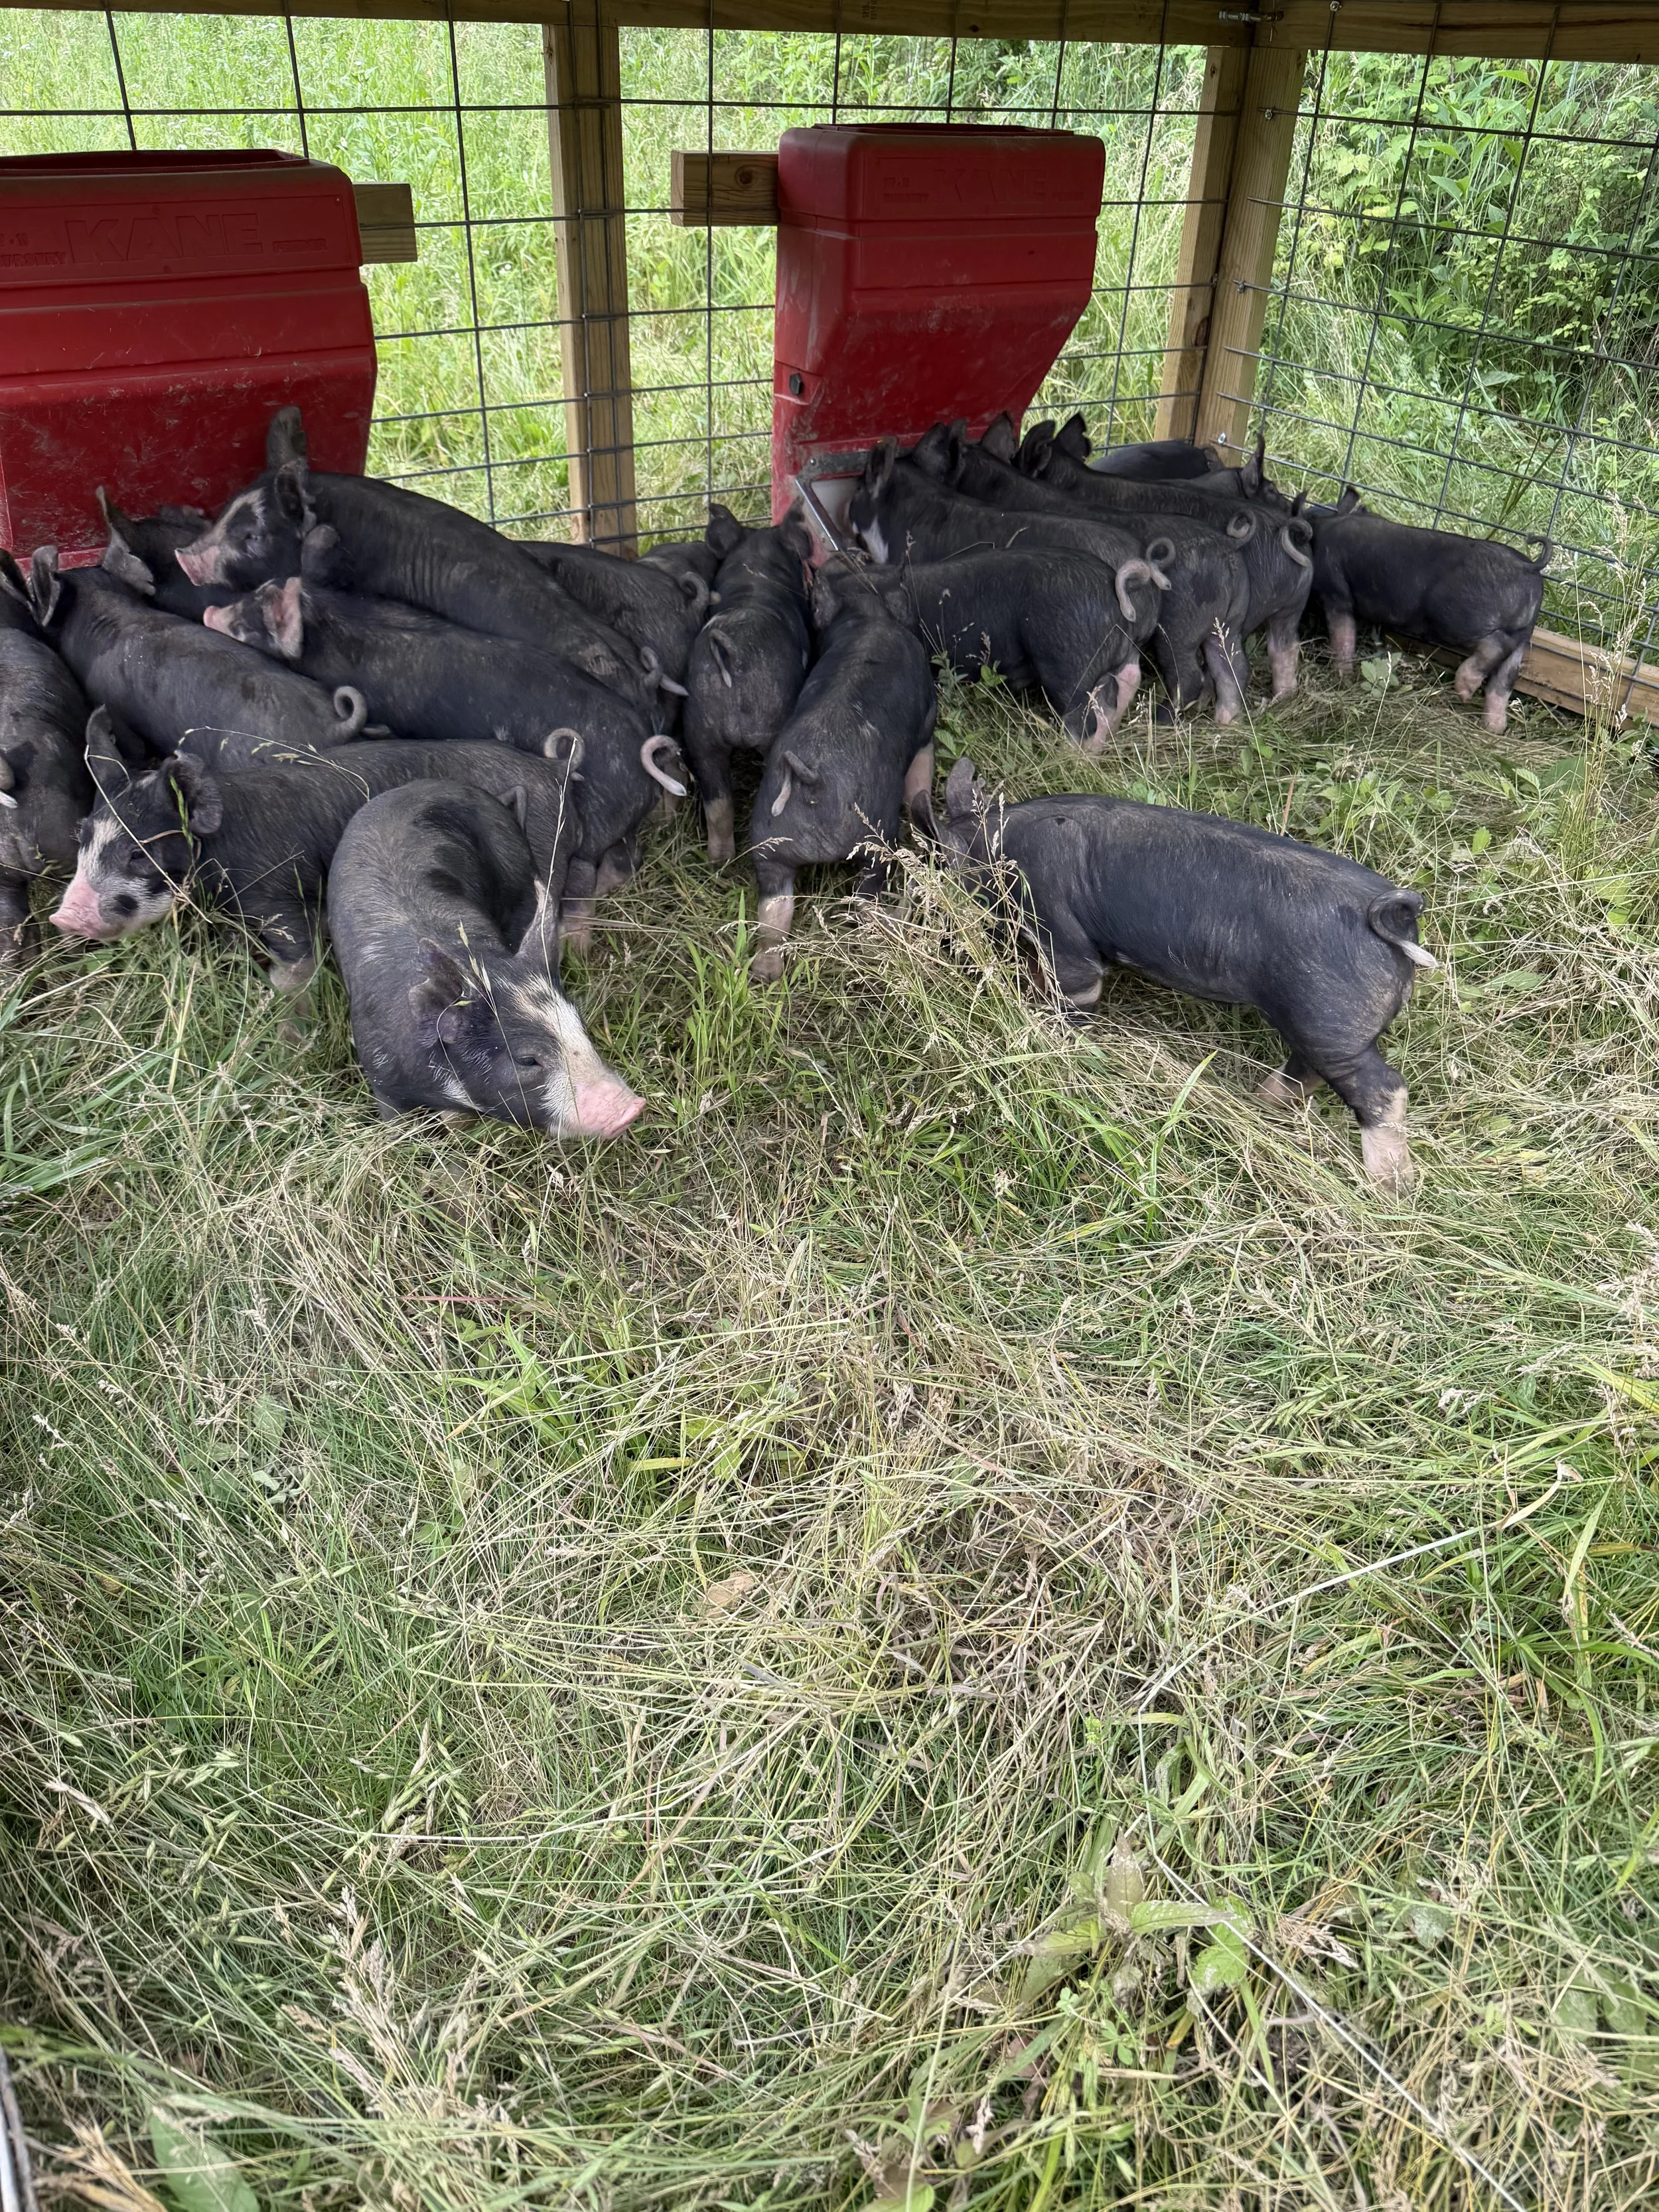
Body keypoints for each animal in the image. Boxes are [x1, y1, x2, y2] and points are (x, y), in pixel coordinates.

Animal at [51, 735, 579, 992]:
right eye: (82, 836)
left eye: (138, 853)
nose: (64, 916)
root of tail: (552, 770)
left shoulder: (277, 895)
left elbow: (297, 962)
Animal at [683, 505, 816, 865]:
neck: (756, 573)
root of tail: (735, 656)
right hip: (771, 723)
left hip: (700, 731)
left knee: (718, 801)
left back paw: (720, 861)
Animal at [746, 559, 937, 983]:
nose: (840, 555)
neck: (869, 612)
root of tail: (815, 782)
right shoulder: (928, 722)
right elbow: (921, 773)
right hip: (875, 838)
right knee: (866, 898)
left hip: (769, 846)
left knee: (773, 911)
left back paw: (765, 974)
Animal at [915, 756, 1435, 1191]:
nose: (933, 929)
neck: (995, 847)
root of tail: (1394, 919)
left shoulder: (1064, 939)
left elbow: (1073, 994)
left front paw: (1057, 1039)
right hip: (1316, 1024)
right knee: (1308, 1069)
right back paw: (1259, 1100)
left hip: (1329, 1020)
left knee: (1384, 1089)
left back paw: (1388, 1189)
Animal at [1309, 488, 1549, 734]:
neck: (1327, 523)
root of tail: (1527, 566)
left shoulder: (1336, 594)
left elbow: (1343, 638)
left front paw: (1340, 679)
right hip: (1524, 635)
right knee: (1504, 681)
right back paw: (1494, 728)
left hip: (1458, 619)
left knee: (1496, 646)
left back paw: (1464, 691)